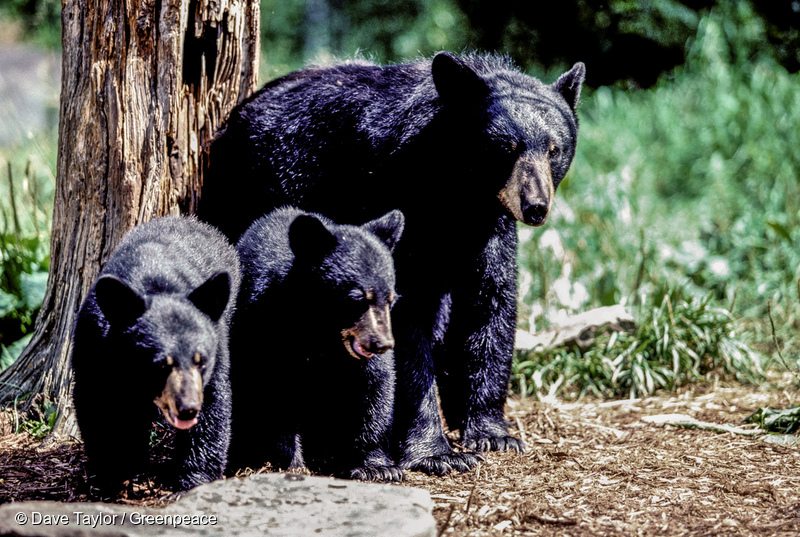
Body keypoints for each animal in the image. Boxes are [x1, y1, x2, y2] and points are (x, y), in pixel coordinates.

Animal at [70, 217, 239, 494]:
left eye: (201, 360)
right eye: (160, 365)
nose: (187, 409)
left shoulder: (218, 348)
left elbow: (214, 408)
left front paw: (194, 478)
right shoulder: (93, 346)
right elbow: (96, 405)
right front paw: (111, 473)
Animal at [230, 206, 406, 482]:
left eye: (391, 298)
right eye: (357, 298)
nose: (382, 343)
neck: (322, 331)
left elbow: (376, 388)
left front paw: (378, 467)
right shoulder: (268, 327)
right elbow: (274, 393)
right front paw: (291, 463)